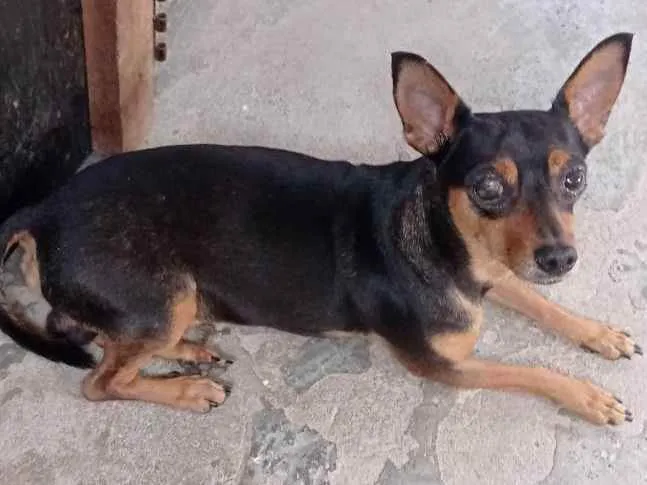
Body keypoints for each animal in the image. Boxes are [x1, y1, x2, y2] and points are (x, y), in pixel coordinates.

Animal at [0, 33, 638, 425]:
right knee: (98, 379)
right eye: (486, 187)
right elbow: (530, 370)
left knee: (91, 335)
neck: (447, 242)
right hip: (164, 296)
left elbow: (540, 302)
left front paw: (599, 333)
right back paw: (186, 387)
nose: (560, 258)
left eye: (575, 178)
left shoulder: (501, 268)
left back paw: (191, 350)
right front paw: (590, 397)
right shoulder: (447, 365)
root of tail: (42, 210)